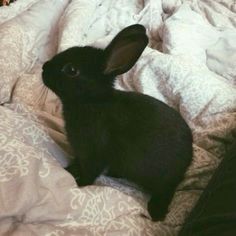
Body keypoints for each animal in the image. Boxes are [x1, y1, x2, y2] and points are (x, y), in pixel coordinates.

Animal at [42, 24, 193, 220]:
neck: (92, 101)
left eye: (71, 70)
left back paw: (156, 212)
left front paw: (79, 184)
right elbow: (77, 163)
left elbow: (90, 172)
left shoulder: (95, 154)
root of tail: (189, 156)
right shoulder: (81, 152)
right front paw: (68, 170)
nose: (44, 67)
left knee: (166, 190)